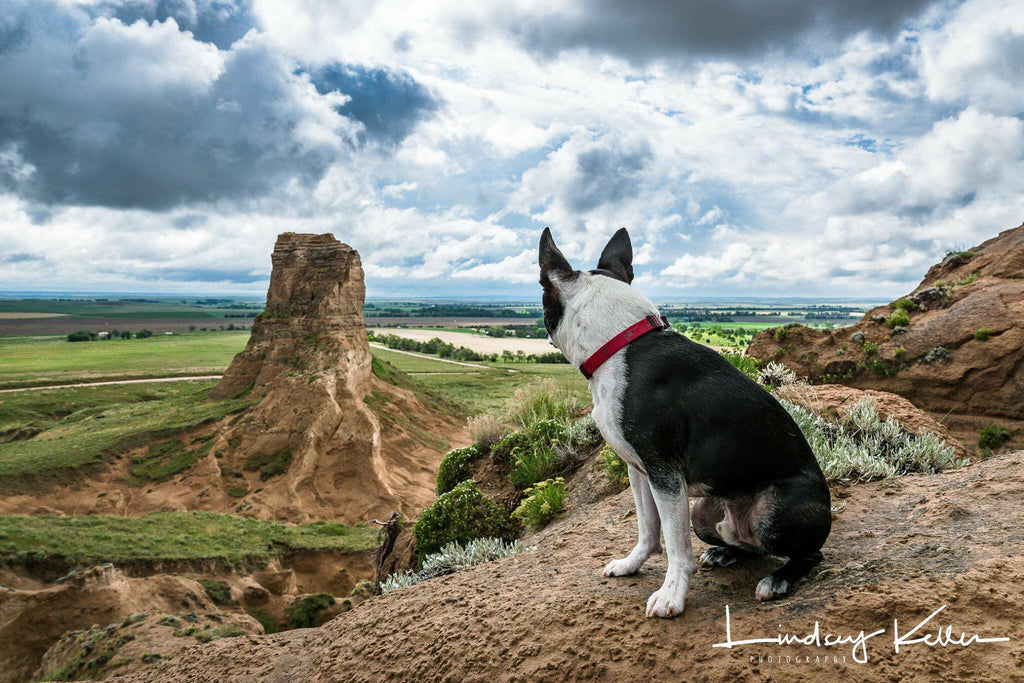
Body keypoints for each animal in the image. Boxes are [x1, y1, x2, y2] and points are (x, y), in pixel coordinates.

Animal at [536, 228, 831, 618]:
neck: (620, 344)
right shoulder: (640, 470)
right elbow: (647, 527)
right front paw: (632, 564)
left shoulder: (665, 473)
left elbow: (676, 545)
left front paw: (671, 594)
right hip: (703, 512)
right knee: (752, 547)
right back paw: (724, 553)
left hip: (772, 511)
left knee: (809, 553)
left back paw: (778, 579)